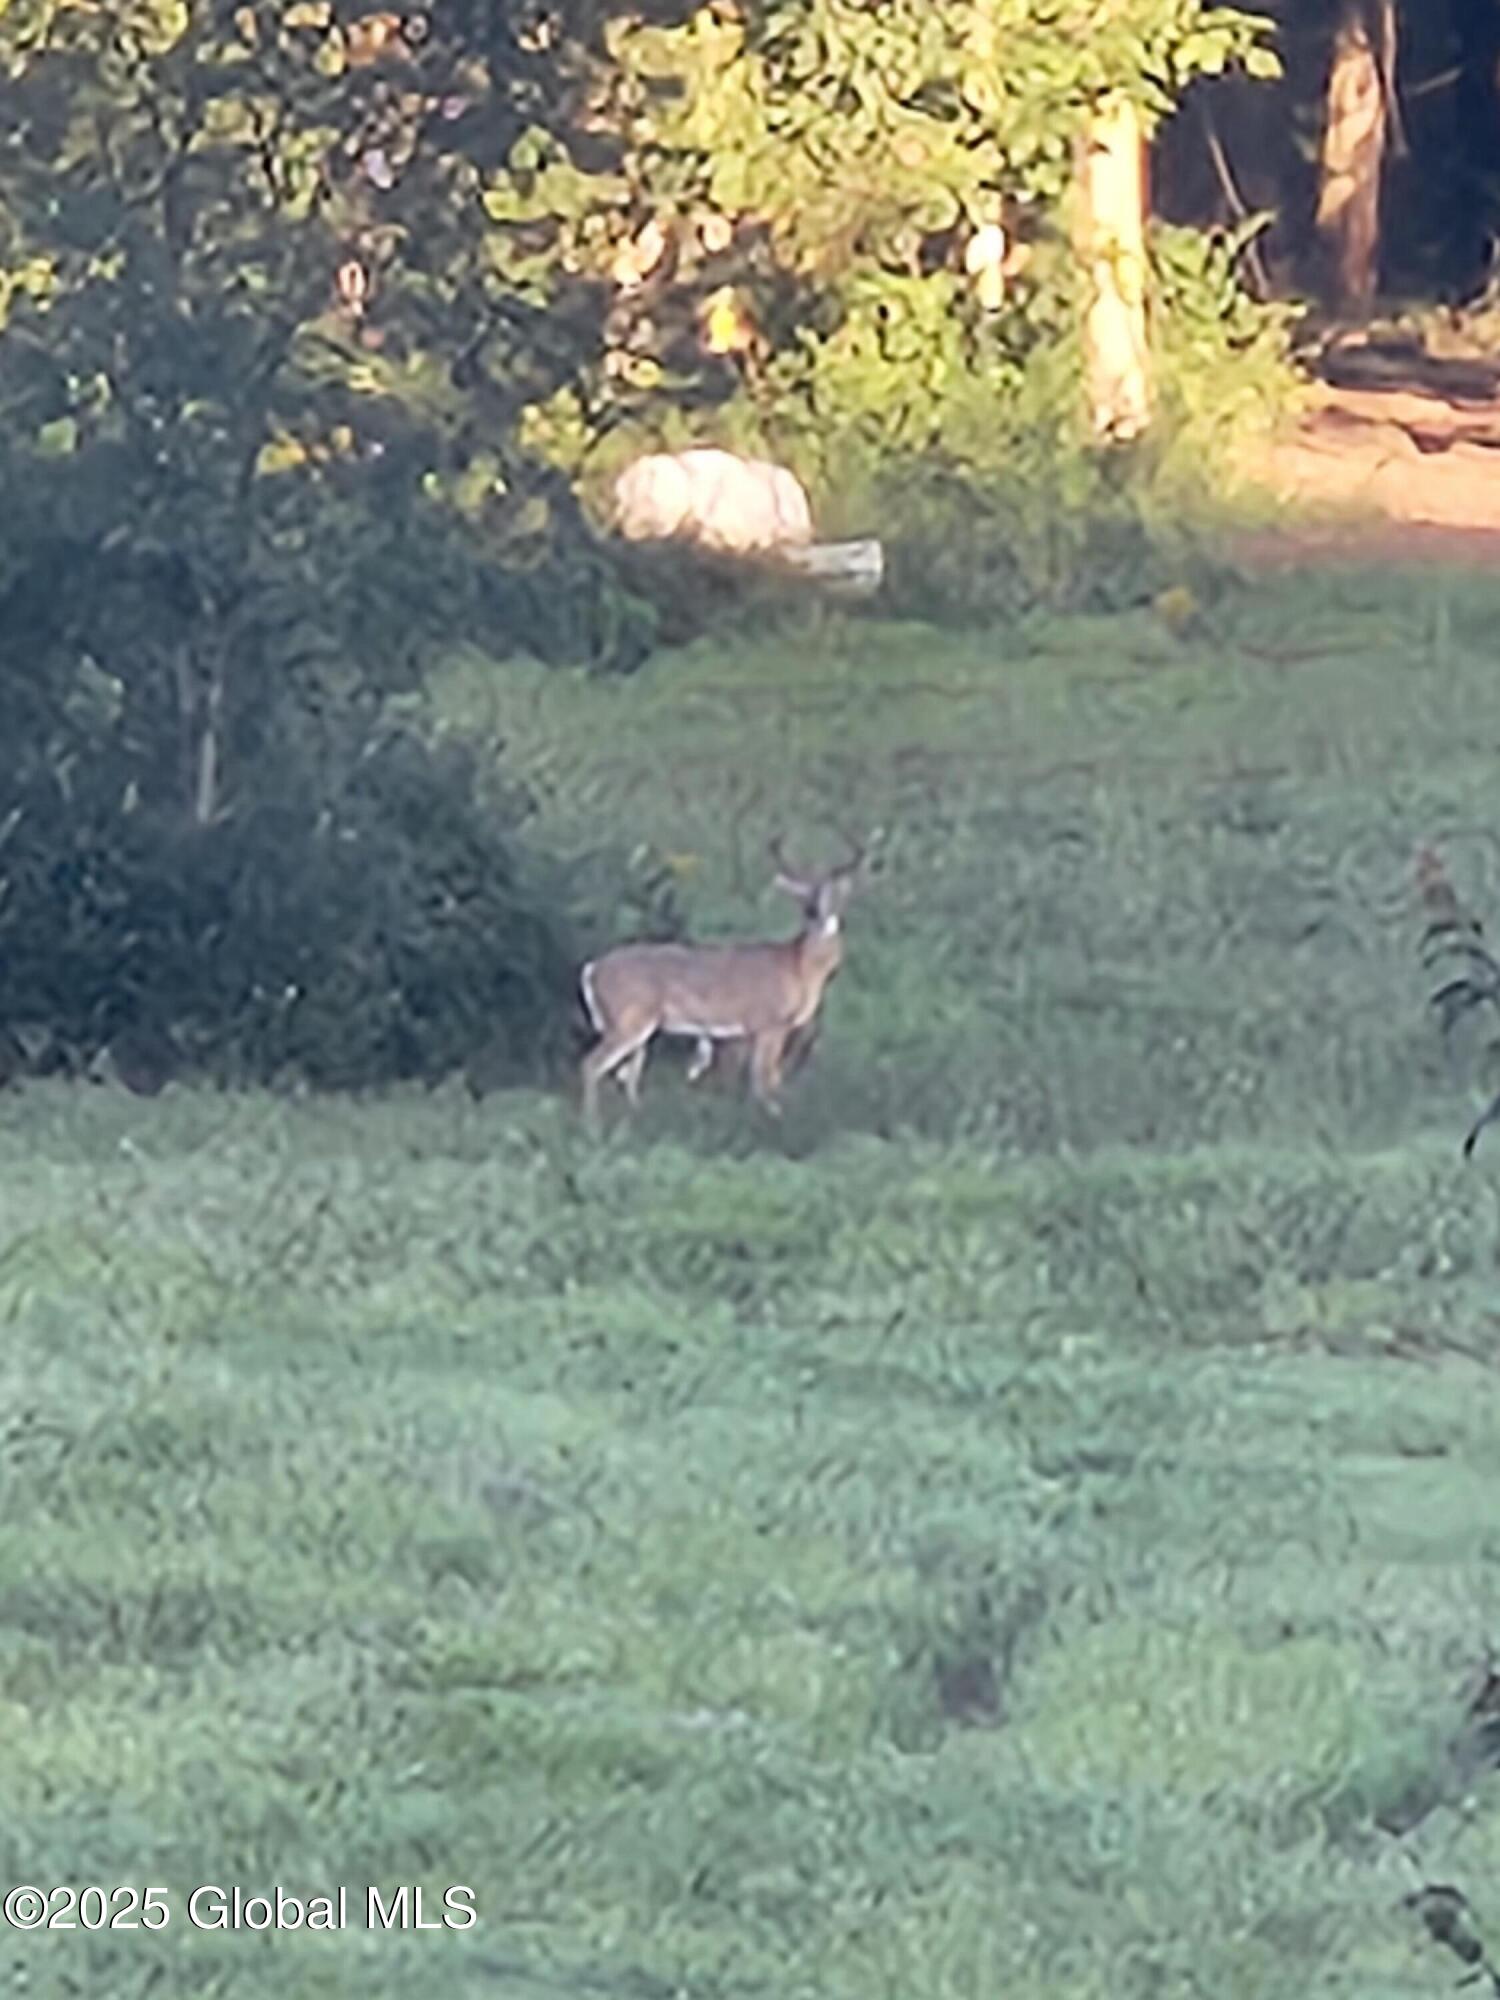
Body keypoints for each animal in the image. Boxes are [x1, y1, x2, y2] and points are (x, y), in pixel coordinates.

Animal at [580, 832, 876, 1128]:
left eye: (836, 894)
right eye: (804, 897)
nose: (817, 914)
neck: (798, 967)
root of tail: (592, 970)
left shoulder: (748, 1034)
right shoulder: (769, 1023)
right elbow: (765, 1080)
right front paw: (772, 1122)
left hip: (635, 1029)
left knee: (627, 1076)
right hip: (629, 1021)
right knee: (592, 1065)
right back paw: (593, 1125)